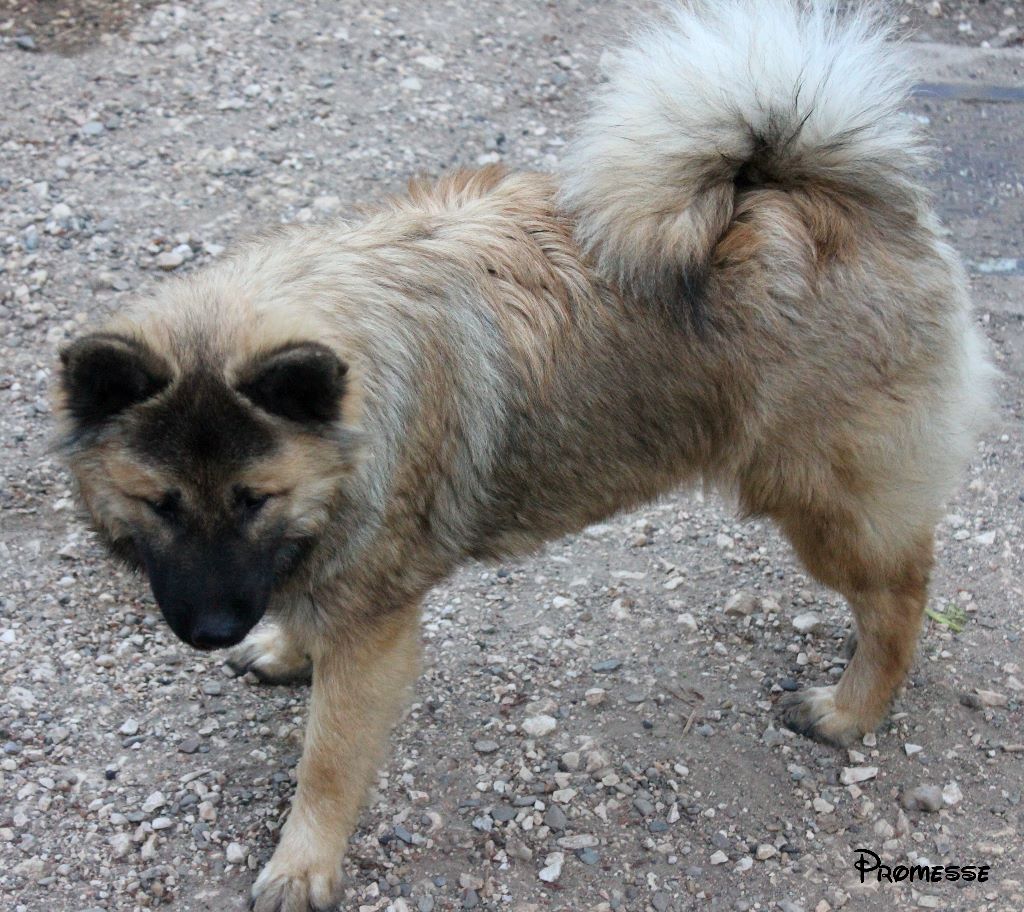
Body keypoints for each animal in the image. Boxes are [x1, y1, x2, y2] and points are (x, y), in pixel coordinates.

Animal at [54, 3, 991, 908]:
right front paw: (285, 648)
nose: (211, 631)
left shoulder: (373, 632)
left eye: (254, 498)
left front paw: (303, 865)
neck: (359, 399)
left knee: (900, 598)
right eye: (161, 503)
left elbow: (328, 762)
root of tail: (822, 189)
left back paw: (850, 711)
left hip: (825, 505)